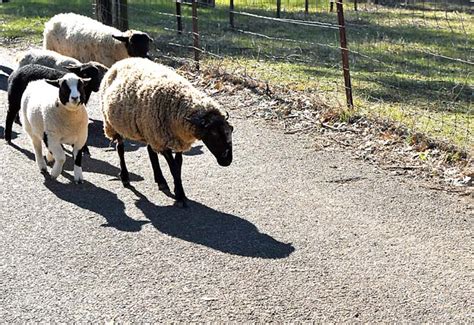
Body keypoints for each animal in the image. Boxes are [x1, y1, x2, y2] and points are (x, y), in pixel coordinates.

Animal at [100, 58, 233, 205]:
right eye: (213, 134)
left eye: (231, 130)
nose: (227, 161)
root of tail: (122, 61)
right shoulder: (163, 140)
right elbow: (173, 167)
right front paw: (180, 195)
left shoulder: (178, 140)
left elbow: (178, 166)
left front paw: (177, 189)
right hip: (113, 125)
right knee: (120, 149)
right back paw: (125, 176)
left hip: (149, 131)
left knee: (150, 151)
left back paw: (160, 180)